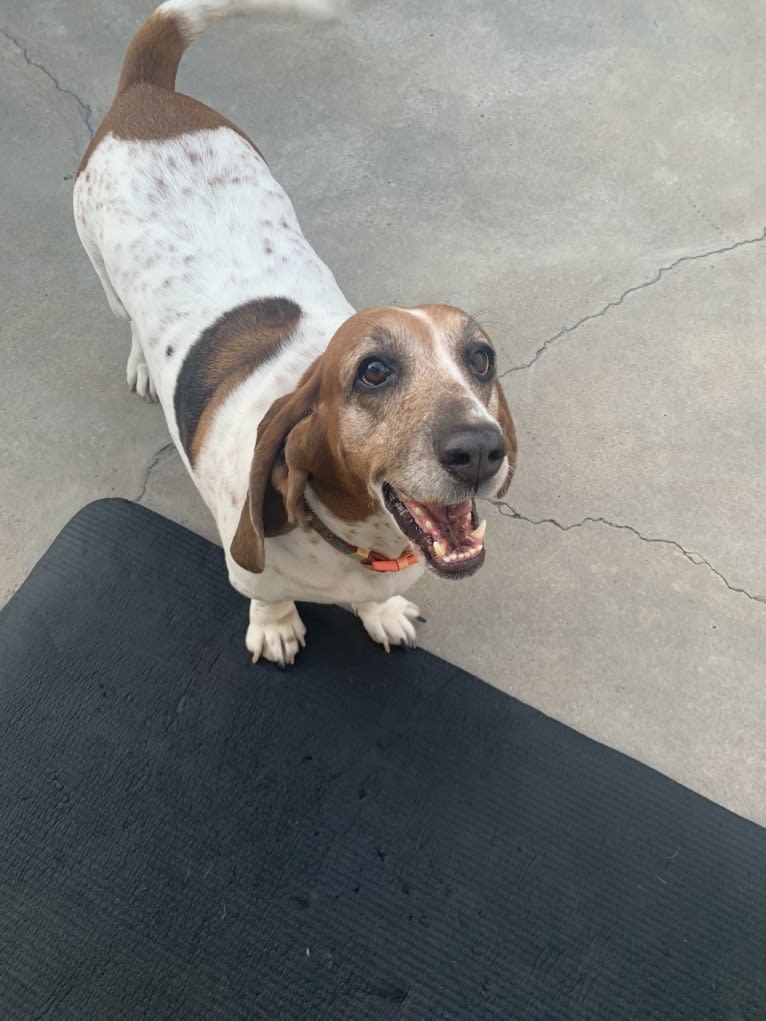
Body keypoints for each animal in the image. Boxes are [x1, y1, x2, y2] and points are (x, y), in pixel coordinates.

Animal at [73, 0, 516, 665]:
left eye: (481, 358)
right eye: (373, 371)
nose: (480, 450)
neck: (359, 541)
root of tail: (147, 93)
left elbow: (376, 604)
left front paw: (382, 613)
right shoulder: (250, 570)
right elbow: (270, 596)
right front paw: (277, 628)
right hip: (102, 272)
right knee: (124, 319)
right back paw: (144, 367)